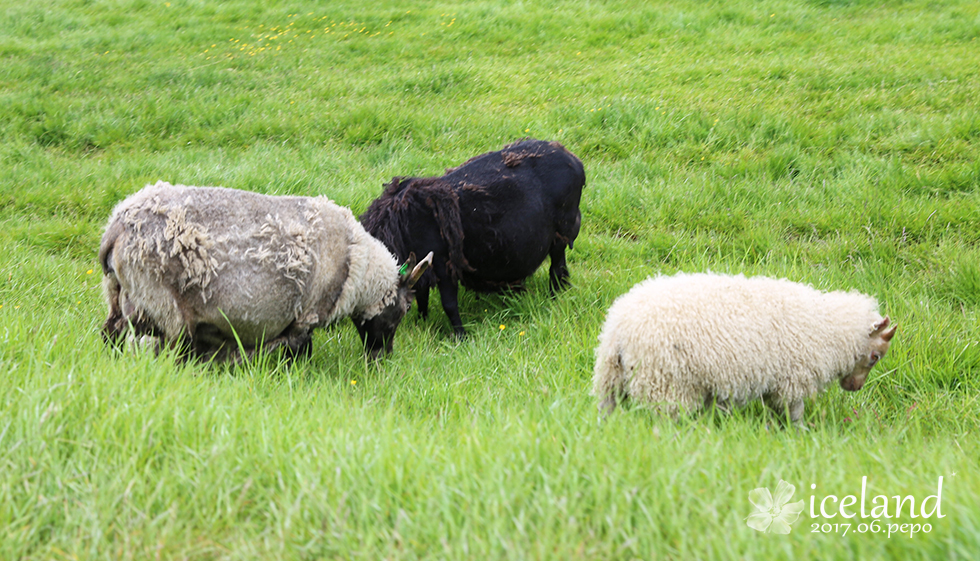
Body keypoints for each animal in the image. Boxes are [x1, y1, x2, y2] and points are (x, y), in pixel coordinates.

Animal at [99, 182, 432, 360]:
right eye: (404, 308)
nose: (381, 358)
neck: (358, 267)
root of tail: (116, 227)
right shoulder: (305, 317)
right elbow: (301, 353)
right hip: (165, 306)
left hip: (120, 295)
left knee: (109, 334)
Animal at [588, 272, 896, 424]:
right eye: (874, 357)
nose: (855, 388)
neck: (829, 328)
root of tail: (618, 328)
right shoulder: (794, 379)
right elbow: (794, 413)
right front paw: (799, 435)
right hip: (665, 383)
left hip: (611, 380)